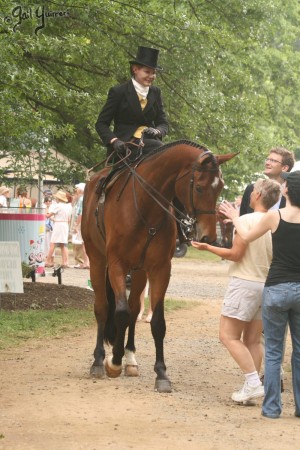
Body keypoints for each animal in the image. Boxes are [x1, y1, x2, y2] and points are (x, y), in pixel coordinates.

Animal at [82, 139, 237, 392]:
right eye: (199, 187)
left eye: (220, 187)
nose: (209, 237)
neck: (144, 209)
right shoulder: (116, 265)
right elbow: (120, 313)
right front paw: (113, 362)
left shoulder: (160, 269)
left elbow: (157, 322)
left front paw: (161, 373)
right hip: (97, 260)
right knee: (104, 308)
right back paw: (98, 360)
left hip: (139, 272)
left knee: (134, 308)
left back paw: (130, 359)